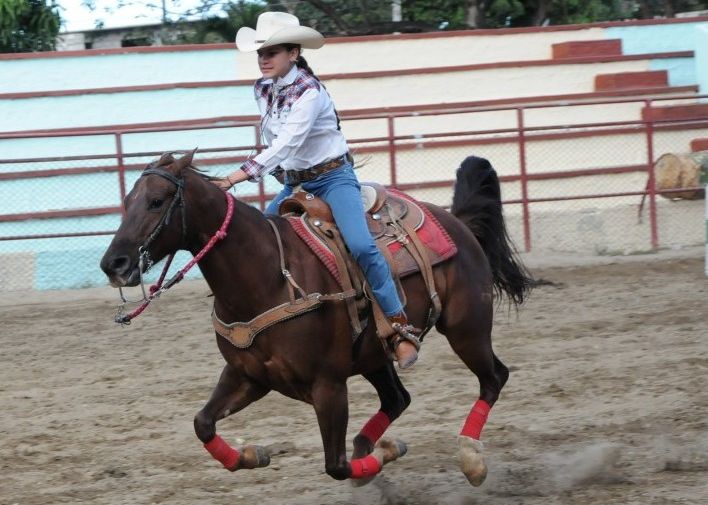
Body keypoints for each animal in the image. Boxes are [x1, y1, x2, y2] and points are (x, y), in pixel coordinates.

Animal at [99, 153, 532, 484]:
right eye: (127, 201)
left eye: (157, 201)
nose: (113, 264)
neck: (268, 278)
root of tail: (456, 222)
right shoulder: (248, 376)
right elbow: (202, 422)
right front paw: (252, 455)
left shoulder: (328, 387)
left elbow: (336, 465)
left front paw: (384, 454)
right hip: (375, 355)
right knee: (397, 398)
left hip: (467, 330)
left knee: (494, 378)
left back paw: (470, 458)